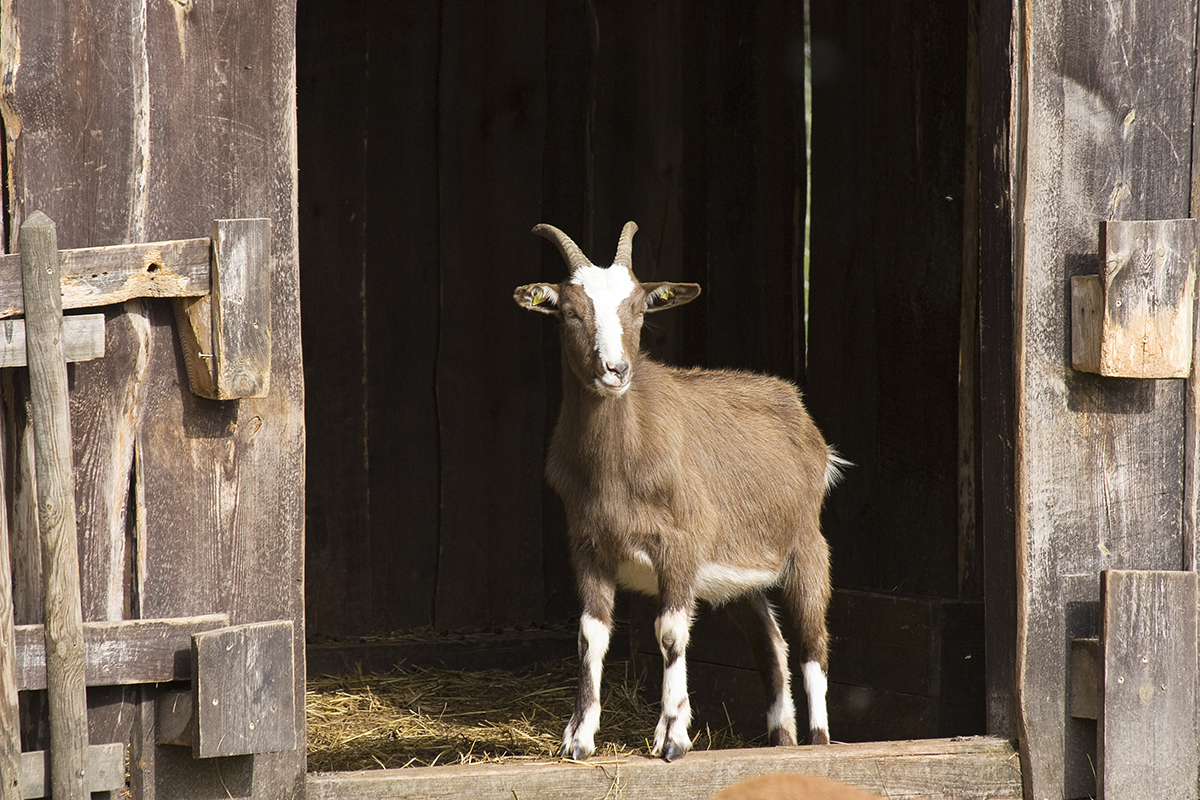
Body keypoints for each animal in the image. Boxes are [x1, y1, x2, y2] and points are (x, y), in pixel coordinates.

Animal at [516, 221, 844, 762]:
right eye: (570, 311)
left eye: (639, 309)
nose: (616, 370)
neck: (616, 467)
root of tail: (799, 410)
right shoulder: (588, 546)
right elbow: (590, 635)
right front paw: (578, 738)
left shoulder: (681, 546)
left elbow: (670, 633)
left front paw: (672, 737)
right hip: (740, 577)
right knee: (771, 643)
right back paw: (781, 737)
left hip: (807, 547)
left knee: (813, 643)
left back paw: (817, 741)